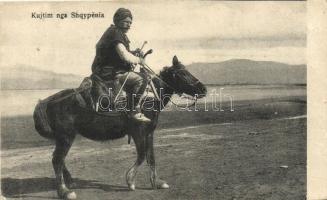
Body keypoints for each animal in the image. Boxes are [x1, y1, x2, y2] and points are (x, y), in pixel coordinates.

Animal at [34, 55, 208, 198]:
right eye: (182, 74)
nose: (203, 89)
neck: (149, 96)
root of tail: (48, 101)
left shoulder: (149, 133)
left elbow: (151, 157)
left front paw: (157, 182)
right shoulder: (138, 132)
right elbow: (141, 155)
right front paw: (130, 181)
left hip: (62, 138)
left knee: (59, 159)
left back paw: (70, 182)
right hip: (66, 137)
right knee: (57, 160)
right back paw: (64, 191)